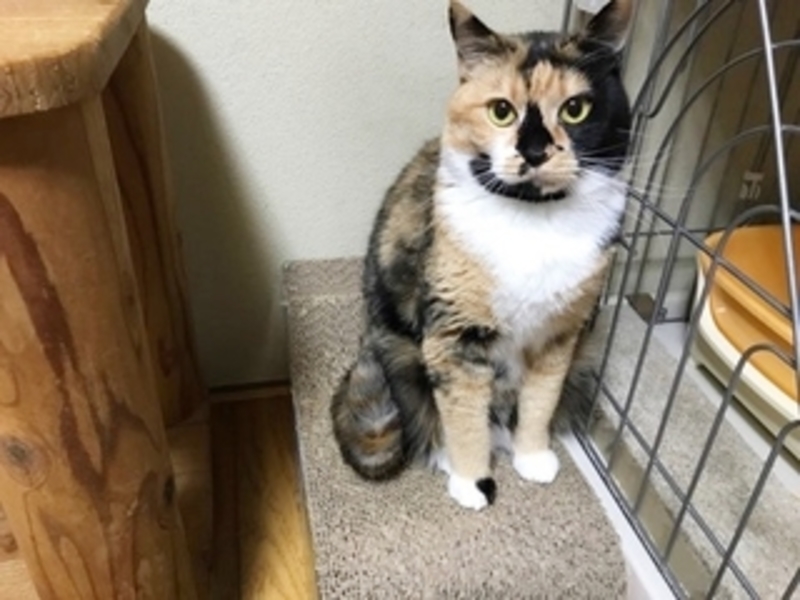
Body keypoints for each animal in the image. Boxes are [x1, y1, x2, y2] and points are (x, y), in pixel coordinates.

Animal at [332, 0, 633, 510]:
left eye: (576, 109)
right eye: (500, 111)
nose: (534, 151)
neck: (535, 220)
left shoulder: (562, 333)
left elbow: (540, 399)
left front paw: (533, 457)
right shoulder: (455, 334)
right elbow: (465, 414)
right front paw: (473, 482)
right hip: (397, 351)